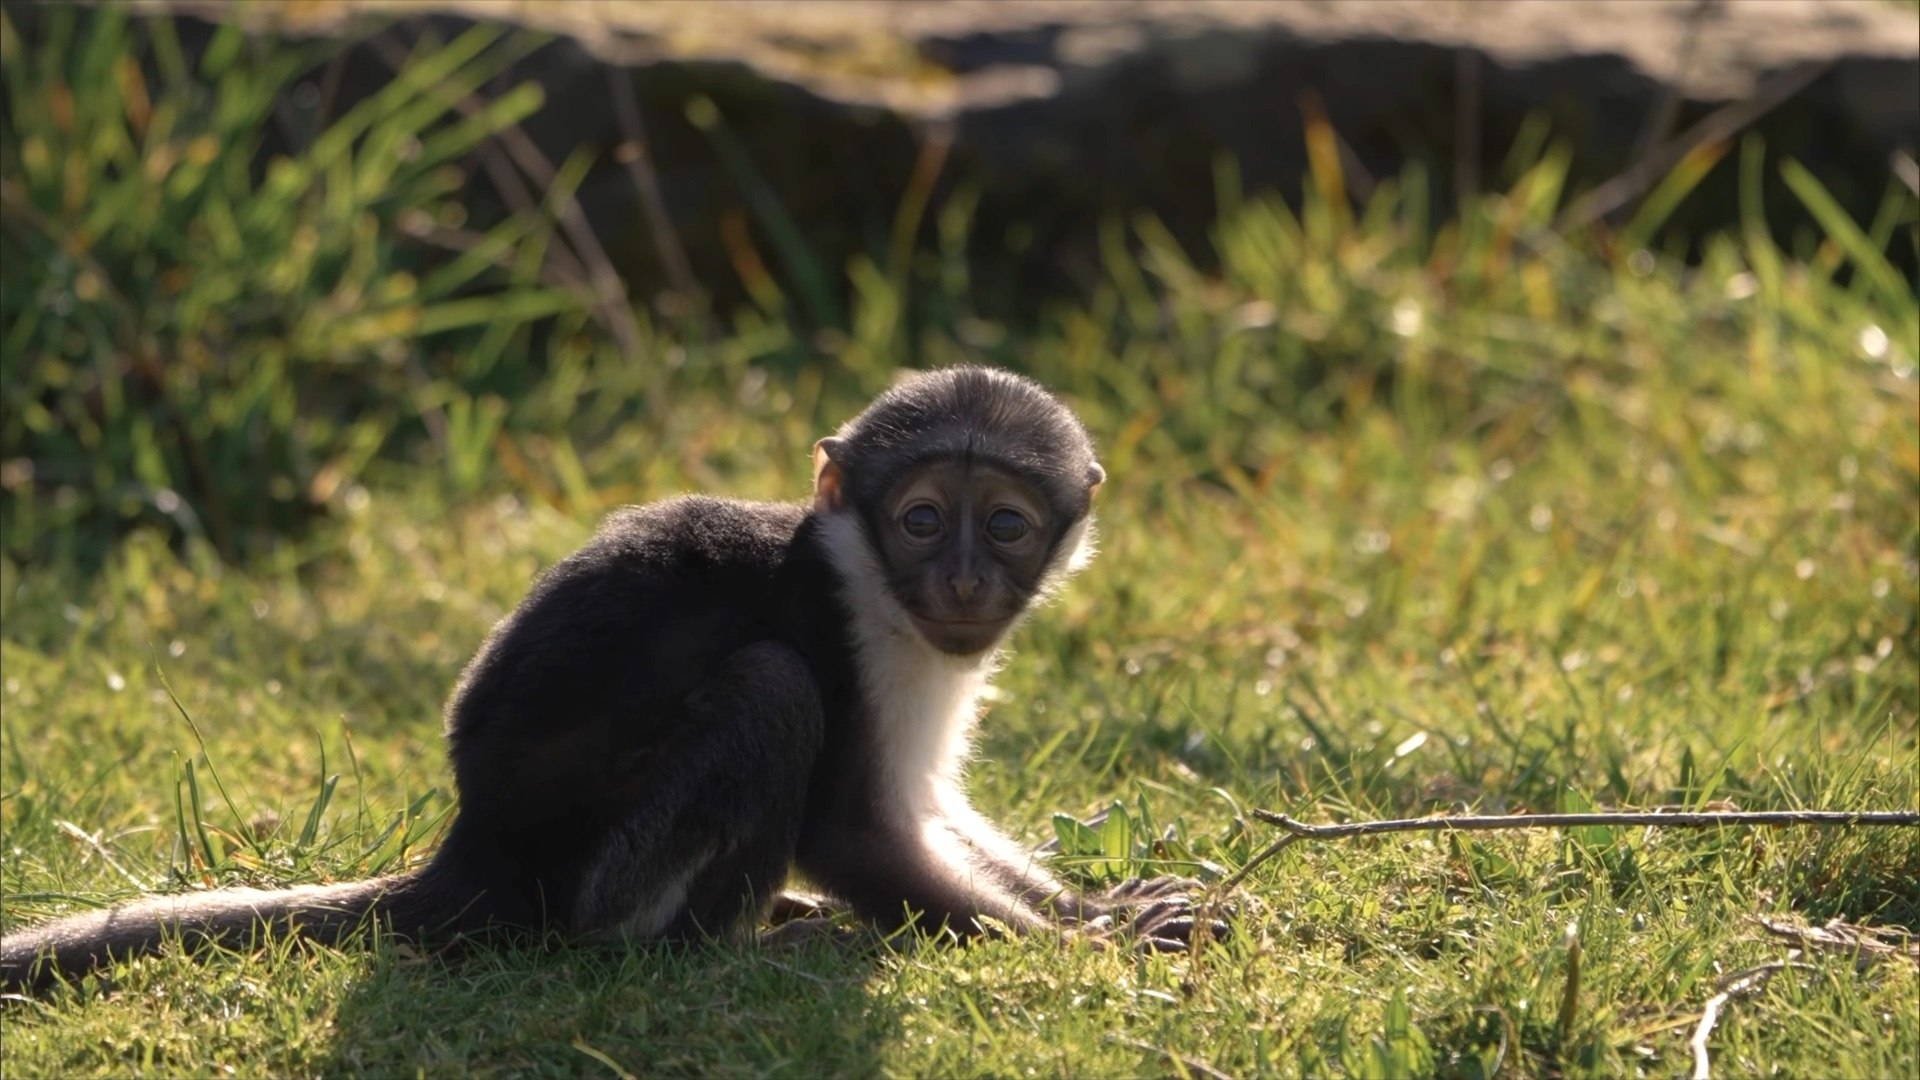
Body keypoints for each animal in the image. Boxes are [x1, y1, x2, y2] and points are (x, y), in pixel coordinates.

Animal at [1, 366, 1212, 995]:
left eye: (1004, 525)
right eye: (922, 520)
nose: (961, 578)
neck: (862, 569)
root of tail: (477, 855)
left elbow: (928, 810)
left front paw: (1101, 905)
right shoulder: (851, 638)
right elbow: (859, 829)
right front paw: (1088, 948)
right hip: (606, 873)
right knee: (769, 691)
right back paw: (726, 946)